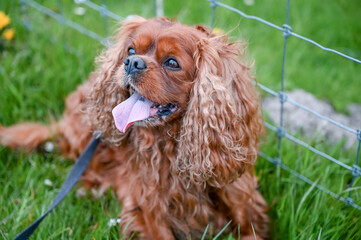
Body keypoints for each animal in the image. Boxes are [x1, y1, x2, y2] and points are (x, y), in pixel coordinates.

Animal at [0, 17, 268, 240]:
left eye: (172, 63)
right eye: (130, 50)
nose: (132, 62)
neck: (173, 151)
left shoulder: (246, 205)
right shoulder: (147, 210)